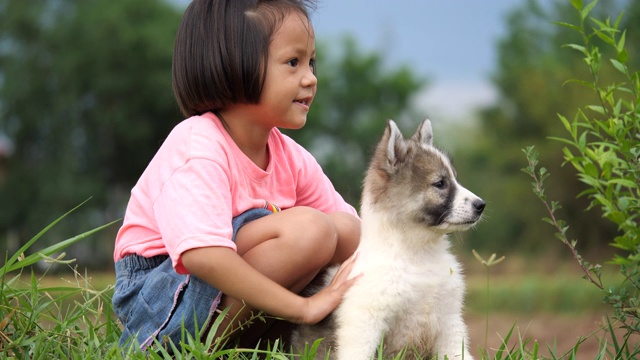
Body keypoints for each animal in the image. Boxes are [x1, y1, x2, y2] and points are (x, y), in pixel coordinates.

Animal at [294, 119, 484, 358]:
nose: (481, 205)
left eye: (454, 180)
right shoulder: (365, 323)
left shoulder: (449, 321)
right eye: (440, 183)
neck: (417, 255)